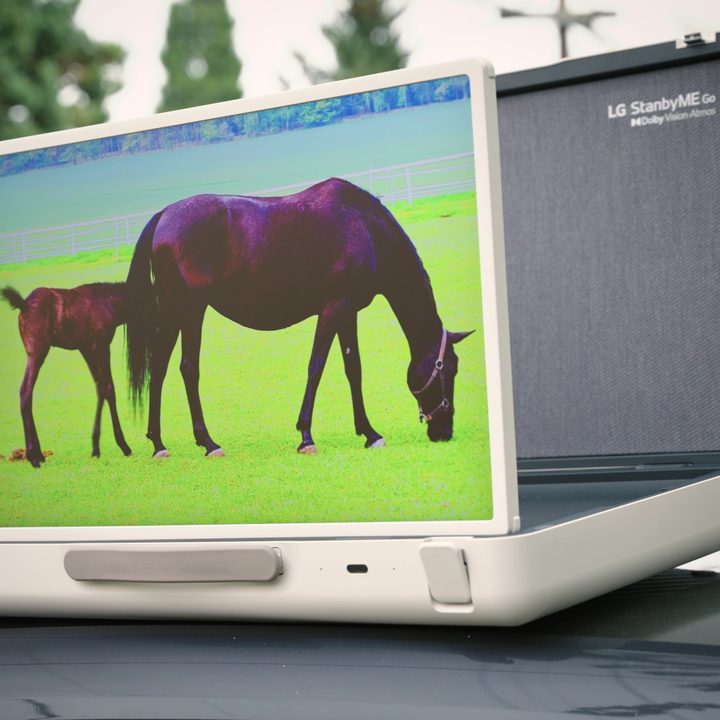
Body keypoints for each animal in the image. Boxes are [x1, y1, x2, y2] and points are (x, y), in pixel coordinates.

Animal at [2, 283, 132, 468]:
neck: (110, 303)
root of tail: (23, 304)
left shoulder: (86, 348)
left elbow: (100, 387)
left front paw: (95, 448)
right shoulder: (101, 345)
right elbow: (109, 388)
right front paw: (124, 446)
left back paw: (39, 454)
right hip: (37, 351)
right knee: (25, 391)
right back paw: (33, 456)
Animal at [125, 177, 473, 458]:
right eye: (450, 370)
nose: (444, 432)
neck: (364, 226)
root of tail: (164, 215)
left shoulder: (348, 313)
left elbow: (353, 369)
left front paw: (370, 433)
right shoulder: (333, 309)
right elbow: (316, 367)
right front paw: (306, 436)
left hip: (172, 311)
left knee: (158, 369)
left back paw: (158, 443)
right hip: (191, 310)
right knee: (188, 369)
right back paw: (208, 442)